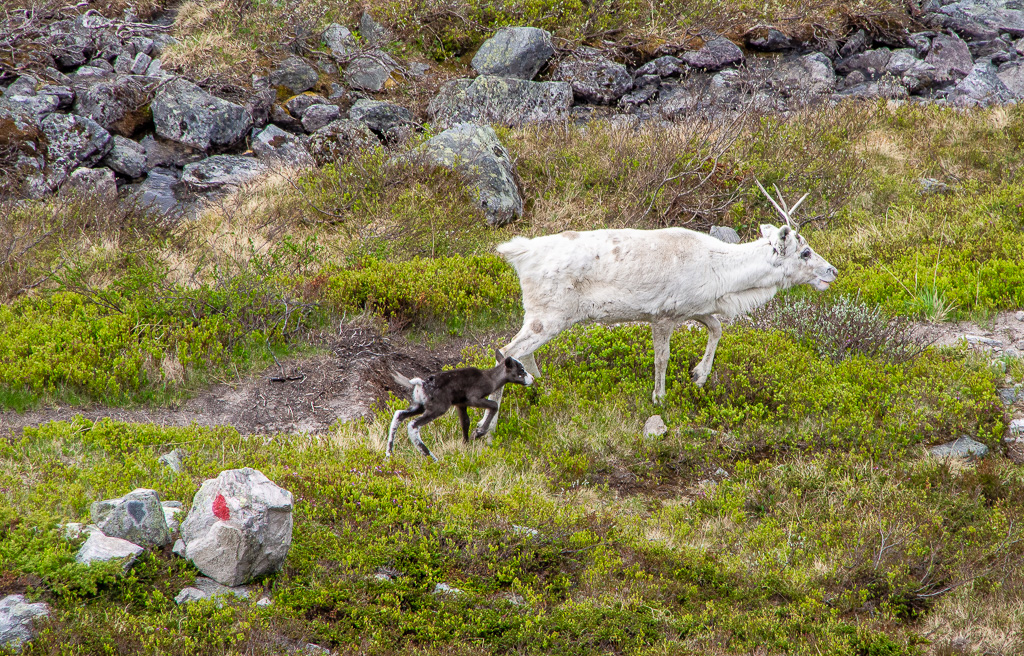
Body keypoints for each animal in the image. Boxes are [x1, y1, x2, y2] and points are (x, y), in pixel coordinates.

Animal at [470, 181, 838, 440]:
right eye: (805, 252)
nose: (833, 271)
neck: (723, 277)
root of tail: (519, 253)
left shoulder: (693, 308)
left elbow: (717, 328)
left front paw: (699, 376)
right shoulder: (663, 314)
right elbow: (663, 358)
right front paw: (659, 397)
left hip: (542, 316)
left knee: (521, 353)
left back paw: (542, 386)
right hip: (549, 314)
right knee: (505, 350)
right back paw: (485, 427)